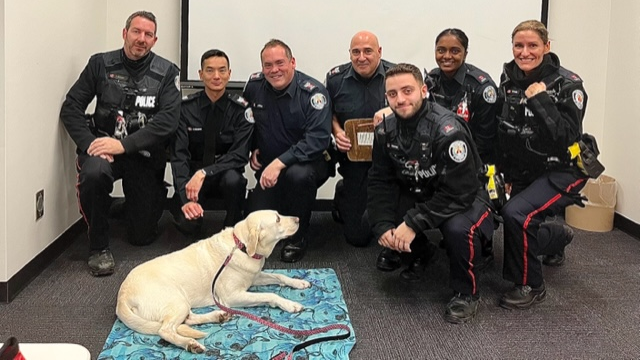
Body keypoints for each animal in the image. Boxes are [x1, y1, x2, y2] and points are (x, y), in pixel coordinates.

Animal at [118, 210, 312, 352]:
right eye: (278, 219)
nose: (298, 218)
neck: (240, 246)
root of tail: (122, 297)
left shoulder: (254, 277)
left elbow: (280, 276)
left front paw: (299, 282)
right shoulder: (233, 296)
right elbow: (270, 295)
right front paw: (290, 304)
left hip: (181, 303)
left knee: (187, 320)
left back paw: (218, 316)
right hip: (176, 300)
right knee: (165, 330)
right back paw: (190, 344)